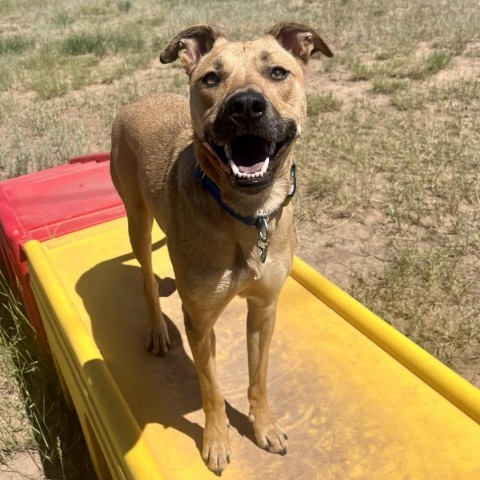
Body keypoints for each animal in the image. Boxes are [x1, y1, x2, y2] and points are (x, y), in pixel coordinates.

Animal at [110, 21, 332, 472]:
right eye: (211, 78)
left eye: (278, 72)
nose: (245, 106)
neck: (246, 215)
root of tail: (136, 101)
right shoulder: (199, 322)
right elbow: (211, 390)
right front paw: (215, 441)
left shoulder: (264, 309)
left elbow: (258, 378)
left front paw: (264, 426)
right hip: (137, 221)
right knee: (146, 280)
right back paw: (157, 330)